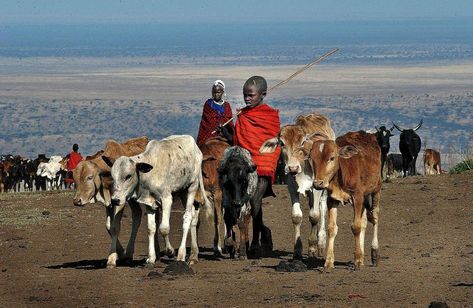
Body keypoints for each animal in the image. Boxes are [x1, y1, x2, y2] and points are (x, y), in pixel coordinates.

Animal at [103, 135, 210, 268]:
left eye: (128, 176)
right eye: (113, 177)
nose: (115, 200)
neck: (150, 171)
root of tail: (196, 148)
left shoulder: (167, 199)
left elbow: (164, 228)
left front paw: (170, 251)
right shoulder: (149, 202)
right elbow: (151, 228)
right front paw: (151, 258)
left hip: (192, 188)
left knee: (187, 217)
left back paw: (181, 255)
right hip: (182, 192)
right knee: (194, 218)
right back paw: (194, 255)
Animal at [260, 113, 334, 260]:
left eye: (302, 142)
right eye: (282, 143)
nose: (293, 168)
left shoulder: (316, 187)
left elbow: (314, 215)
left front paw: (312, 247)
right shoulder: (291, 187)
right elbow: (296, 216)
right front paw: (298, 250)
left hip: (323, 186)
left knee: (322, 207)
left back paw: (321, 242)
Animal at [308, 130, 382, 270]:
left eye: (331, 158)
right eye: (312, 159)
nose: (318, 183)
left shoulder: (357, 196)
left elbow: (356, 226)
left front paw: (357, 260)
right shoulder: (332, 200)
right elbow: (332, 228)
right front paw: (329, 261)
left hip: (376, 189)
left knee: (374, 217)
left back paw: (374, 253)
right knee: (365, 221)